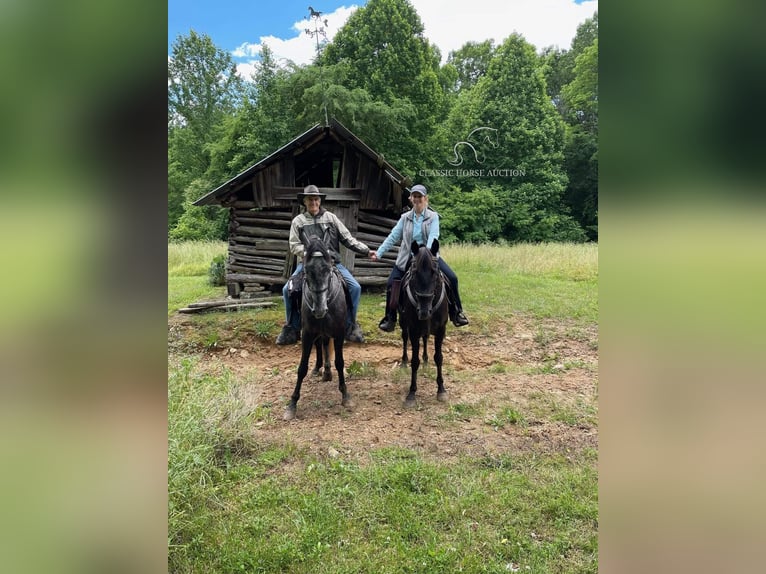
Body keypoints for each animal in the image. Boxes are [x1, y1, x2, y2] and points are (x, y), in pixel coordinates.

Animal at [284, 240, 352, 424]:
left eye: (328, 270)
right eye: (307, 271)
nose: (320, 309)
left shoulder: (339, 333)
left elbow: (340, 362)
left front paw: (345, 395)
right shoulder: (307, 334)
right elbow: (302, 368)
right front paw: (292, 404)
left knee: (325, 344)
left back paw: (327, 372)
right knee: (321, 344)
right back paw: (320, 369)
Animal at [400, 238, 452, 404]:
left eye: (435, 273)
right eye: (414, 273)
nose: (423, 312)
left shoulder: (441, 329)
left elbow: (439, 358)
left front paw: (441, 390)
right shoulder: (413, 330)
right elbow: (414, 361)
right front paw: (411, 393)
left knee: (426, 337)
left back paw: (426, 359)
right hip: (403, 323)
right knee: (404, 338)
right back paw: (403, 361)